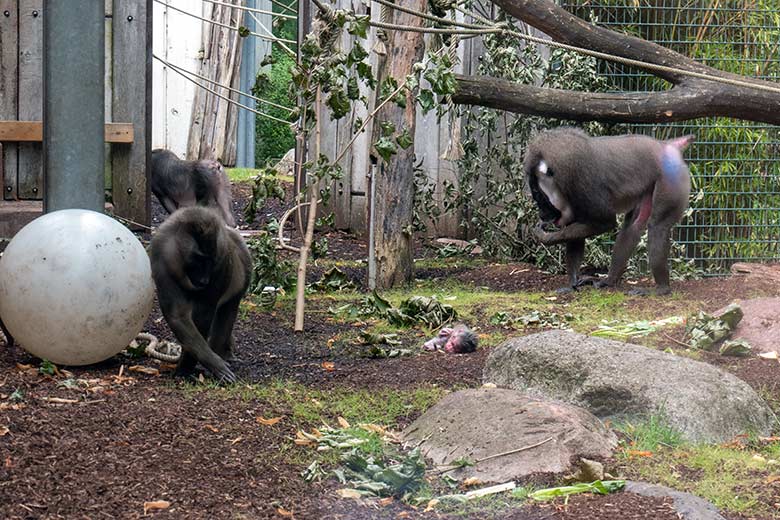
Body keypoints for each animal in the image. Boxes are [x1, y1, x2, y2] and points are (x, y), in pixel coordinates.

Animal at [524, 127, 696, 294]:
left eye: (538, 195)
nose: (542, 215)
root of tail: (667, 146)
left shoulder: (584, 186)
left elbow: (606, 223)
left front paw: (545, 237)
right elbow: (575, 239)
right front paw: (572, 284)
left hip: (669, 181)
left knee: (658, 226)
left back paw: (662, 288)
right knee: (633, 226)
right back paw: (609, 280)